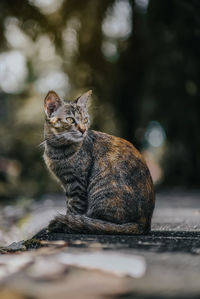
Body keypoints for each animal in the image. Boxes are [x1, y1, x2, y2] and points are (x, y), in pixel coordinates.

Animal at [43, 90, 154, 236]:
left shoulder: (77, 184)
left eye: (85, 120)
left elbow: (73, 209)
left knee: (103, 224)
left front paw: (69, 221)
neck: (57, 150)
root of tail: (144, 223)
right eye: (70, 120)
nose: (83, 130)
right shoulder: (67, 184)